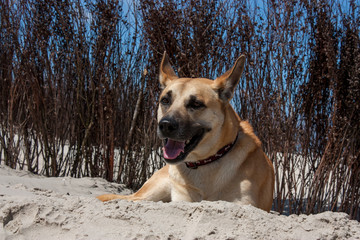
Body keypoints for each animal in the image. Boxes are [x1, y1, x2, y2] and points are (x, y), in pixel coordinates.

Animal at [97, 52, 274, 212]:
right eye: (165, 100)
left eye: (196, 104)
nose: (165, 125)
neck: (204, 162)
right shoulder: (183, 198)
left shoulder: (244, 204)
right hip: (153, 191)